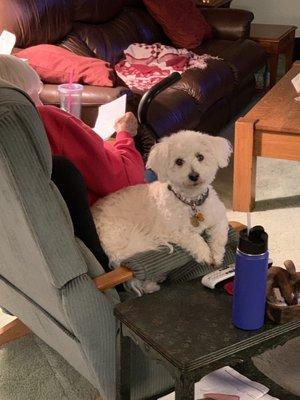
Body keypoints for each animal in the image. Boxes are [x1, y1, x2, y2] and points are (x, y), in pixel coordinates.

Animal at [91, 130, 232, 294]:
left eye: (200, 157)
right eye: (179, 161)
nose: (194, 175)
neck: (191, 202)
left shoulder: (219, 217)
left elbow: (219, 236)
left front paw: (217, 255)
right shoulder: (171, 230)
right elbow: (192, 237)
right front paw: (204, 253)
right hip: (126, 242)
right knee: (133, 275)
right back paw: (151, 284)